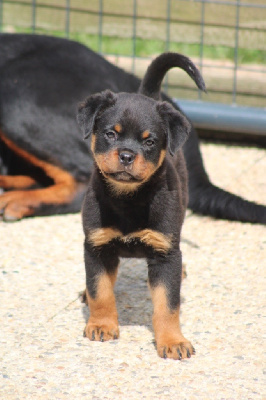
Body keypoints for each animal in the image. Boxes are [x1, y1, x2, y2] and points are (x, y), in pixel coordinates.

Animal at [77, 52, 206, 360]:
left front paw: (172, 341)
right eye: (110, 134)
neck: (129, 199)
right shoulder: (96, 246)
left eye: (149, 141)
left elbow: (168, 305)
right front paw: (101, 324)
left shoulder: (164, 253)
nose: (126, 155)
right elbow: (100, 290)